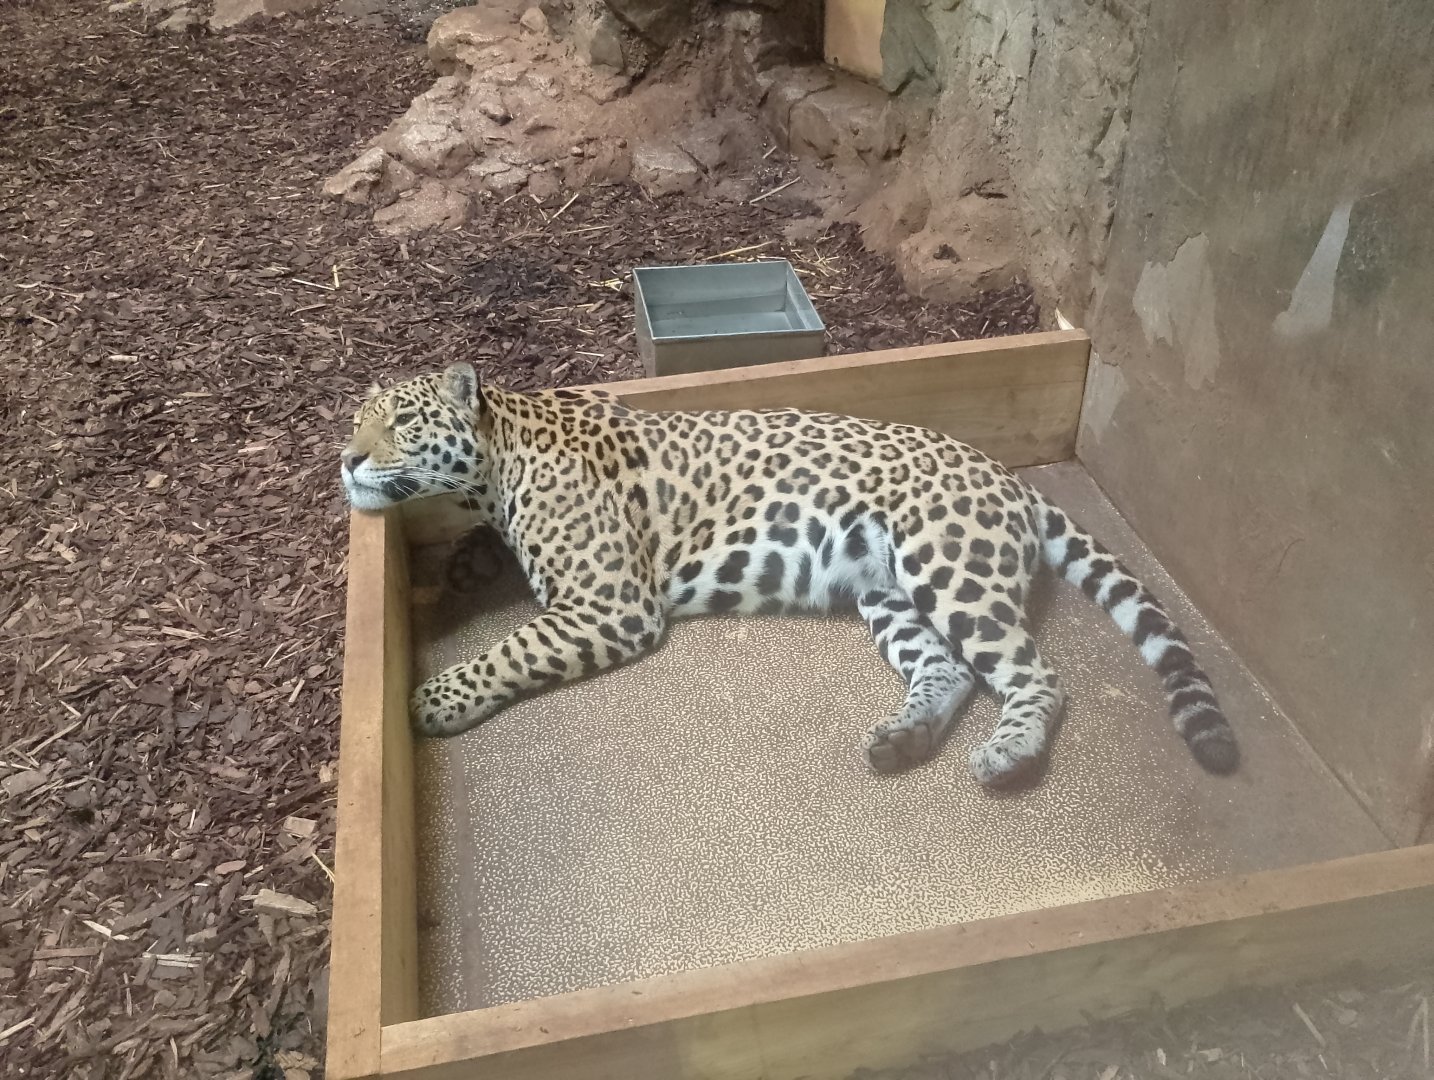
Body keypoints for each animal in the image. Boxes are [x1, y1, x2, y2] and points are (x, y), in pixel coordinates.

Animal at [340, 361, 1239, 786]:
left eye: (405, 422)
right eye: (357, 419)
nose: (347, 459)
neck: (503, 455)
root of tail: (1010, 479)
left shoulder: (611, 604)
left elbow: (510, 649)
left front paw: (433, 698)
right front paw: (467, 559)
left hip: (948, 566)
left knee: (1034, 673)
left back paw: (1008, 755)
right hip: (885, 592)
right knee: (948, 669)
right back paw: (903, 741)